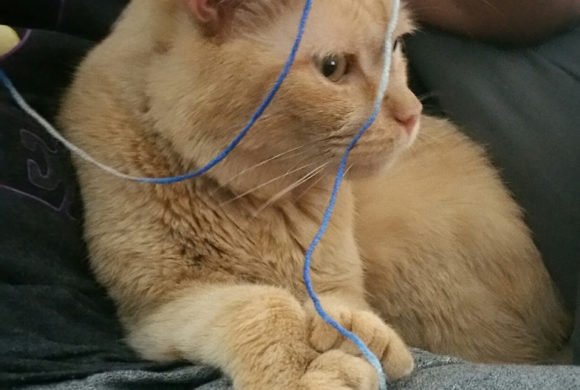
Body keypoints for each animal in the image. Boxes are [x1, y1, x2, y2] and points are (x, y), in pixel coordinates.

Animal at [59, 0, 572, 388]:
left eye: (396, 46)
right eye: (333, 68)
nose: (412, 113)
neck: (259, 202)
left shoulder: (335, 278)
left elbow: (333, 302)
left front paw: (349, 334)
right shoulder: (159, 309)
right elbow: (259, 305)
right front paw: (304, 369)